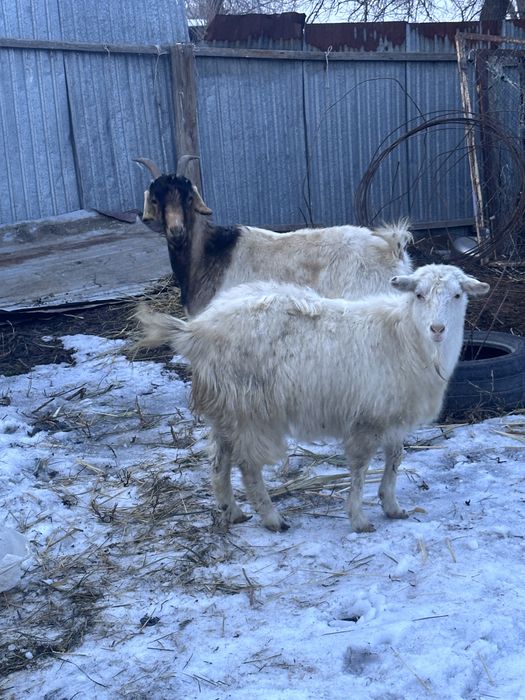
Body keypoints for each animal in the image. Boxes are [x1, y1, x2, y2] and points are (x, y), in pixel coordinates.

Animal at [136, 263, 489, 533]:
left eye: (458, 295)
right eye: (419, 294)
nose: (438, 328)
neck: (405, 337)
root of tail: (197, 330)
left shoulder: (391, 416)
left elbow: (395, 459)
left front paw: (392, 506)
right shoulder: (366, 419)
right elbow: (360, 468)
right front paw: (359, 518)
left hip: (228, 408)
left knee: (219, 459)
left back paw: (232, 511)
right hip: (253, 410)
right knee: (248, 466)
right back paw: (272, 518)